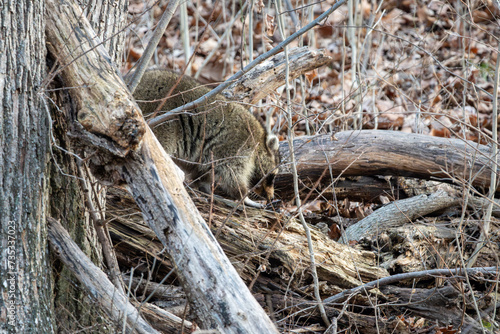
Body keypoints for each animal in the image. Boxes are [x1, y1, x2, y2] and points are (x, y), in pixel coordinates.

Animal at [133, 69, 280, 207]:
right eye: (272, 177)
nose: (271, 197)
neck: (259, 142)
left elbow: (202, 172)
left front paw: (205, 187)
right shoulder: (236, 147)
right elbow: (230, 174)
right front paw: (243, 196)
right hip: (164, 124)